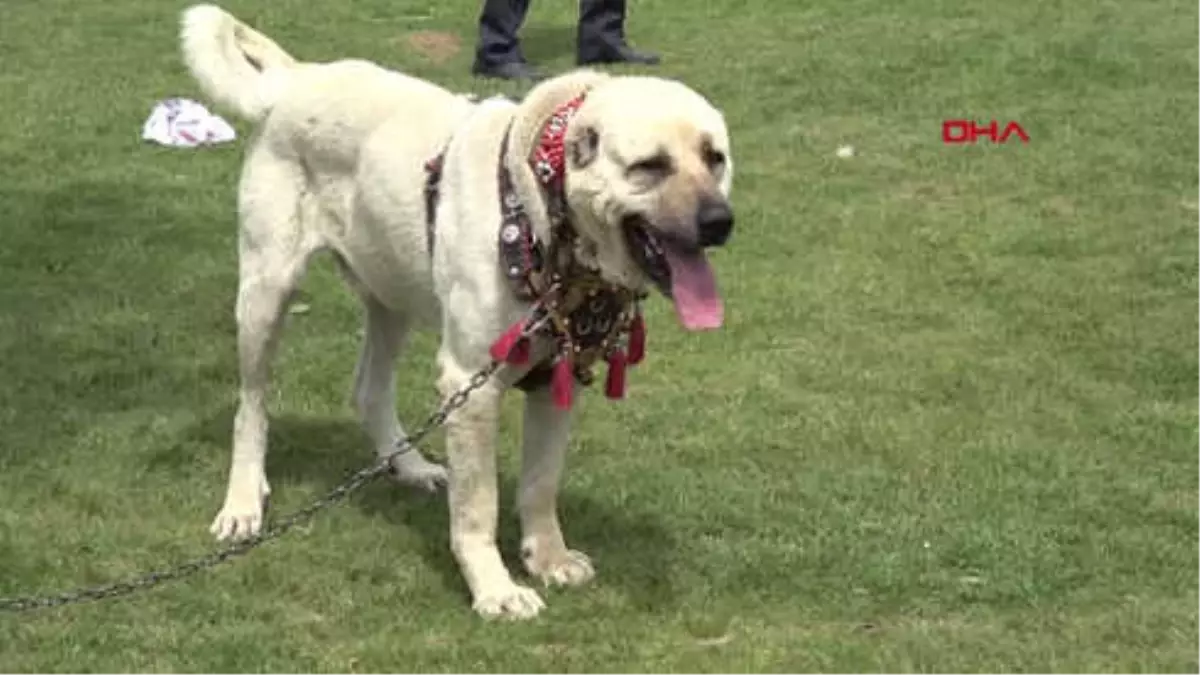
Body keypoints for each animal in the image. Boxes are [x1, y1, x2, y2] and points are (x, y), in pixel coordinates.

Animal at [182, 2, 734, 619]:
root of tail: (297, 78)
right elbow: (479, 507)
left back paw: (411, 467)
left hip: (390, 294)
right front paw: (495, 589)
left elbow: (540, 484)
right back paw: (243, 503)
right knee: (251, 407)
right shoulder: (472, 383)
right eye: (649, 166)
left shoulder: (557, 379)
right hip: (265, 292)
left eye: (715, 158)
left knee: (369, 389)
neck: (542, 209)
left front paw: (548, 558)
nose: (720, 222)